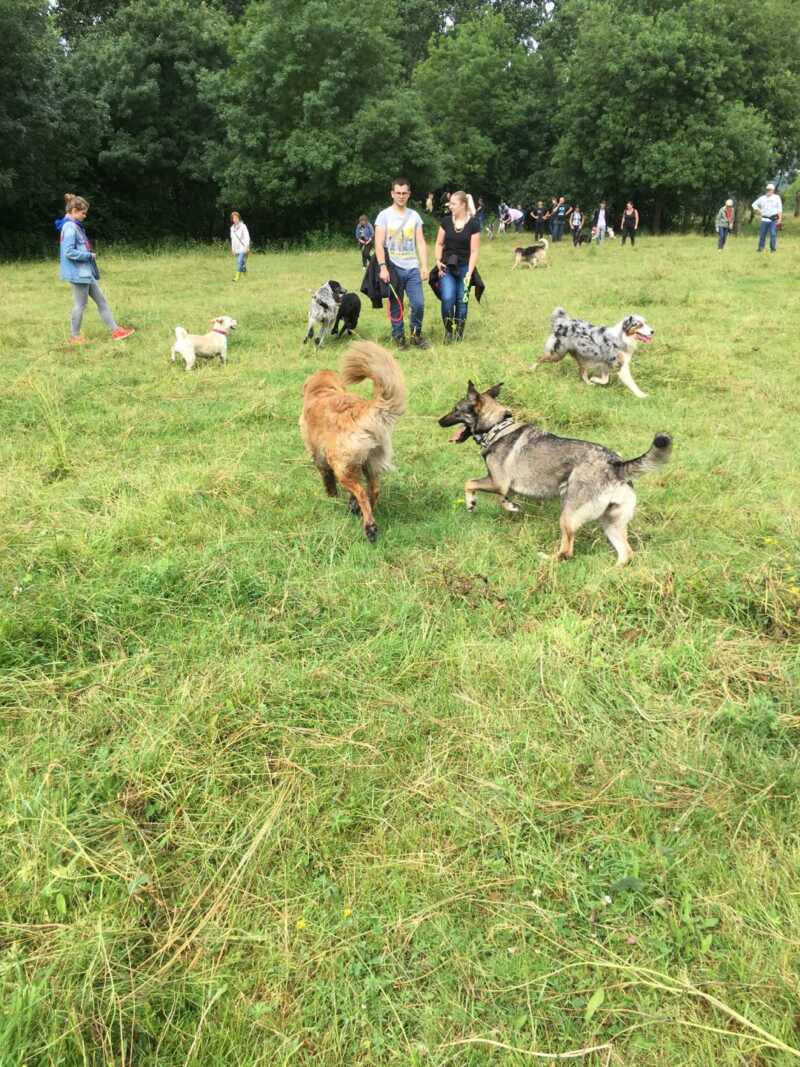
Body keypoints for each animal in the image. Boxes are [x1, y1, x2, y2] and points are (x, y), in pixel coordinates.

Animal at [300, 341, 407, 542]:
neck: (322, 392)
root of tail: (363, 410)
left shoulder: (319, 457)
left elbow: (327, 480)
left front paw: (331, 496)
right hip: (371, 462)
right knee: (373, 490)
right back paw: (362, 511)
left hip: (343, 467)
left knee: (361, 492)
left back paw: (369, 526)